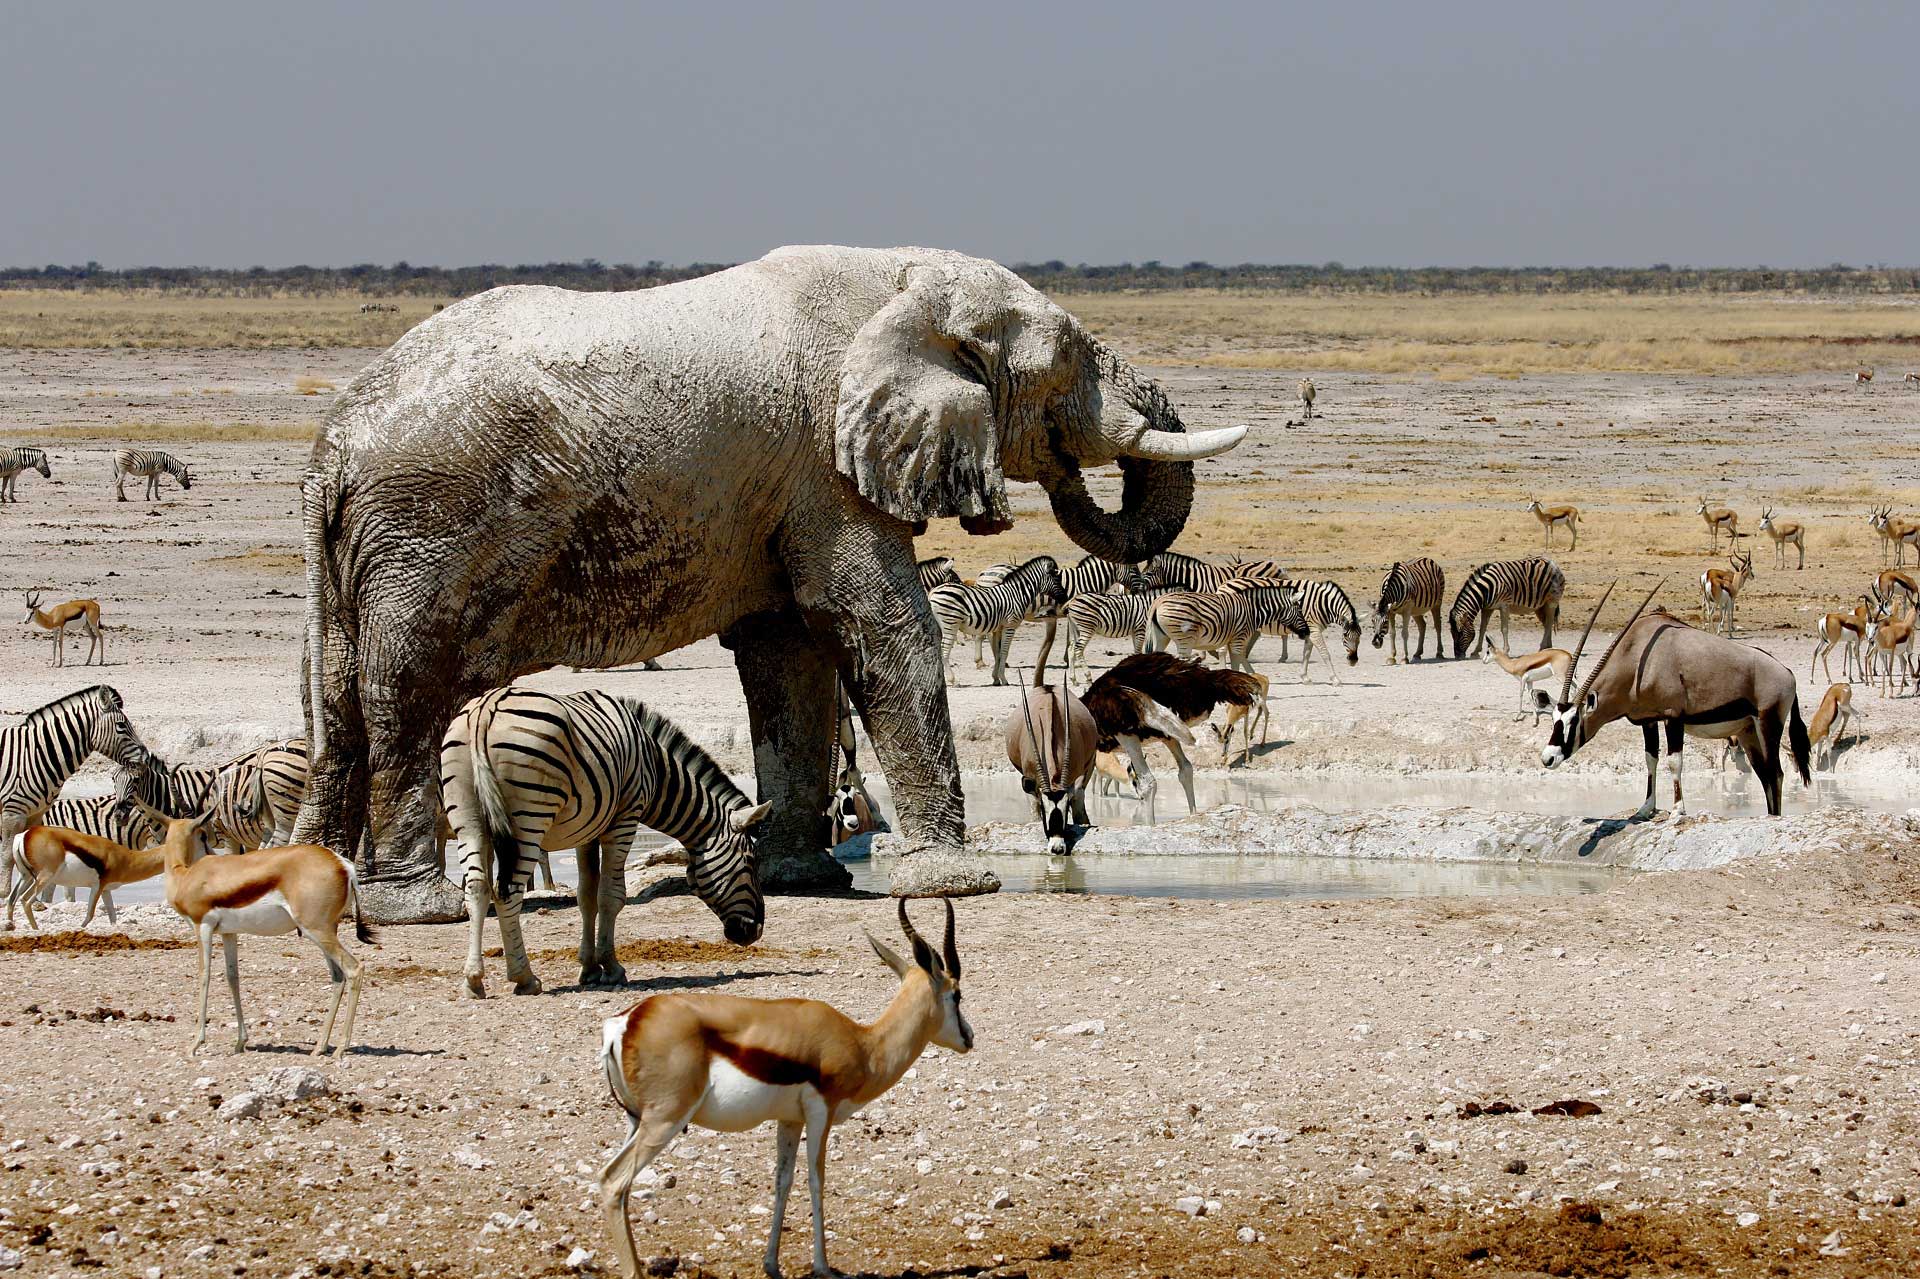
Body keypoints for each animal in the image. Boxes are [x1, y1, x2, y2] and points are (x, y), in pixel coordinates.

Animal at [293, 244, 1243, 921]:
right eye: (1074, 359)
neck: (903, 281)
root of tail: (332, 448)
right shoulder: (827, 467)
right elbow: (880, 625)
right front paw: (956, 883)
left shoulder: (790, 487)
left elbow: (788, 656)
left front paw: (802, 876)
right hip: (423, 531)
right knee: (404, 696)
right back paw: (422, 908)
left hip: (363, 558)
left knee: (339, 704)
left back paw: (318, 886)